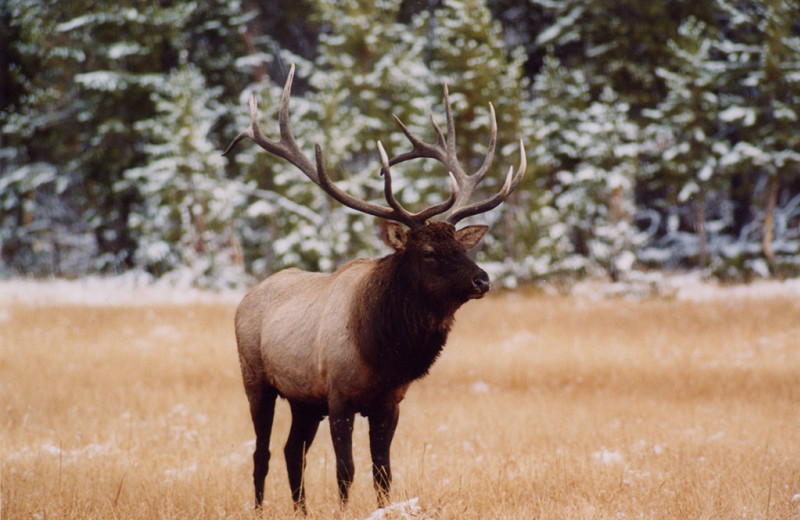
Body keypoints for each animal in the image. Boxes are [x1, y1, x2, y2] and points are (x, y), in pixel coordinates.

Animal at [222, 66, 528, 512]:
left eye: (463, 246)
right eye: (429, 252)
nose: (482, 279)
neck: (383, 353)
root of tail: (247, 297)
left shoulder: (389, 402)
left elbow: (383, 472)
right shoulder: (339, 398)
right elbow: (345, 470)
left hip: (303, 399)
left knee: (292, 450)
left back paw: (301, 510)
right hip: (256, 379)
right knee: (262, 450)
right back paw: (262, 508)